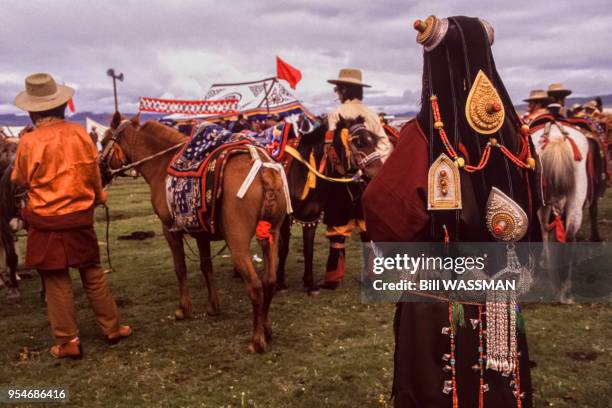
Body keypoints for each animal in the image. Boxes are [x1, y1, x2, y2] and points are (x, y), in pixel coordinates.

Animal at [101, 112, 288, 354]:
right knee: (269, 281)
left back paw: (257, 340)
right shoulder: (202, 233)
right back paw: (266, 329)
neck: (161, 164)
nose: (99, 172)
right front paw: (213, 306)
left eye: (103, 141)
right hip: (271, 235)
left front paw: (183, 309)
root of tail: (265, 171)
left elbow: (180, 268)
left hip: (237, 244)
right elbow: (206, 268)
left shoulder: (169, 229)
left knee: (255, 286)